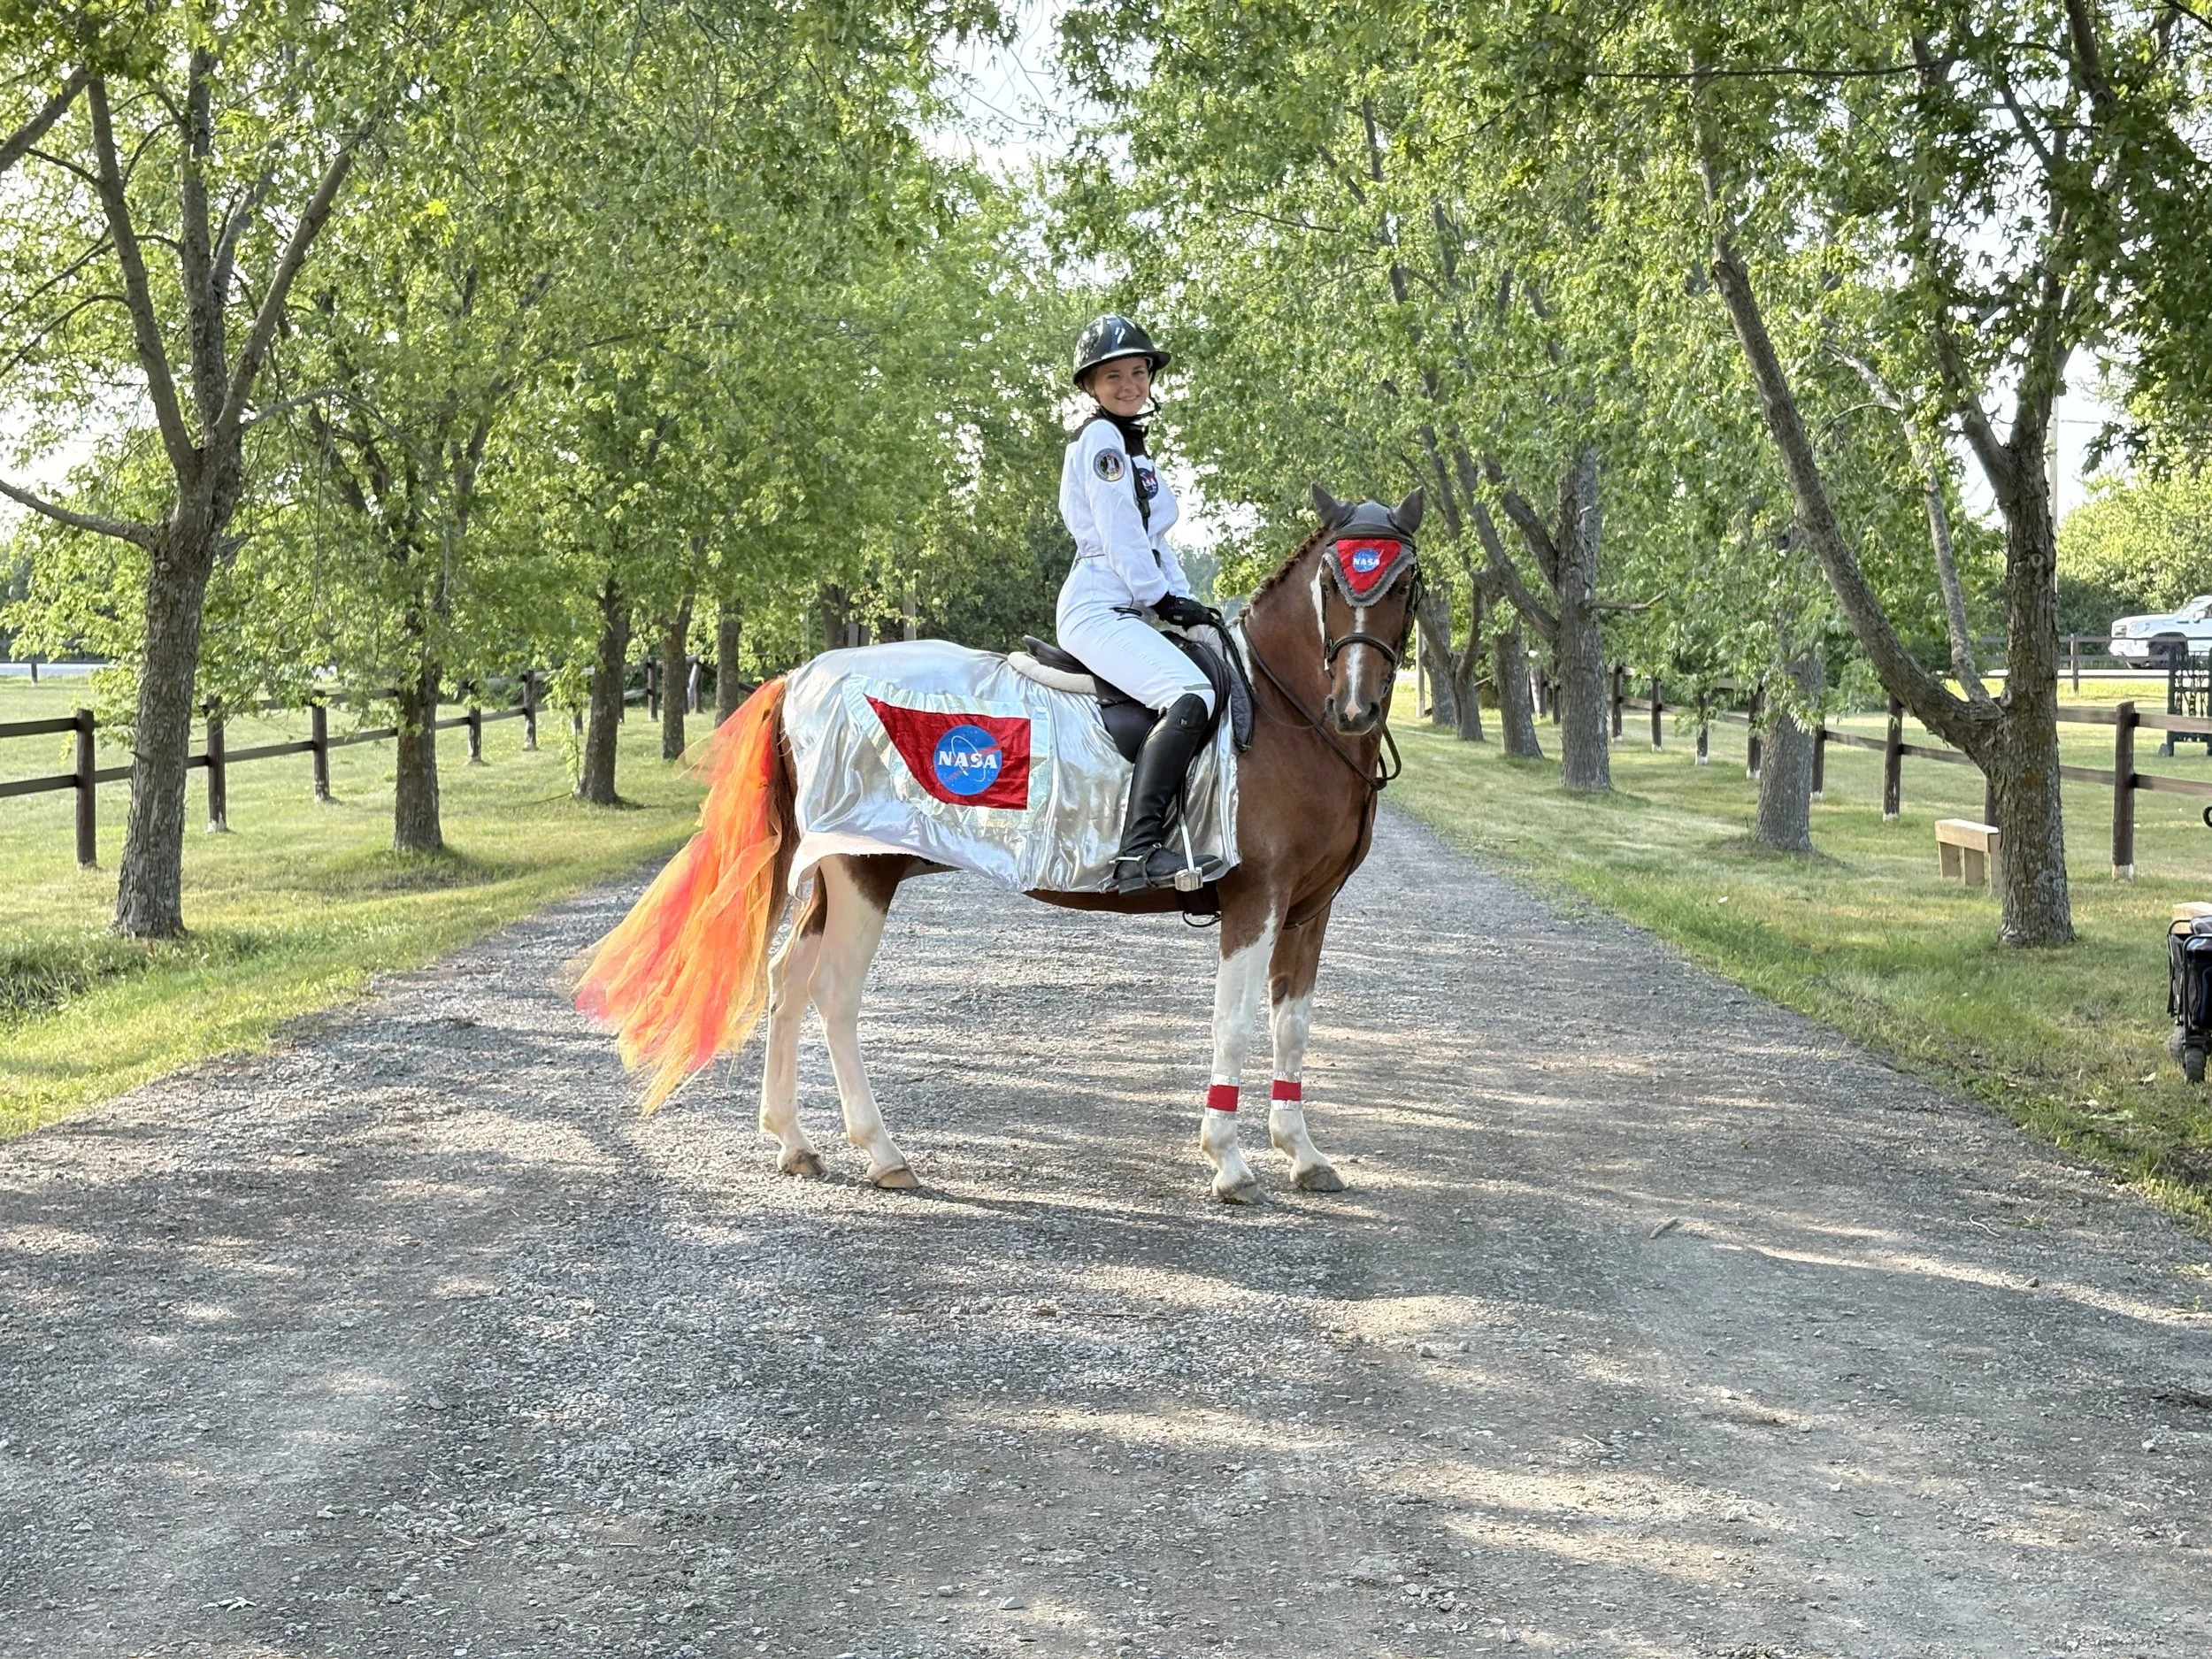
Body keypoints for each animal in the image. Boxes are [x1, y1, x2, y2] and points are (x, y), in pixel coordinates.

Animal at [576, 484, 1425, 1202]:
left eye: (1405, 582)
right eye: (1332, 581)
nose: (1354, 705)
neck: (1284, 717)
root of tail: (803, 676)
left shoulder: (1310, 907)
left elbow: (1293, 1024)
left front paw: (1302, 1152)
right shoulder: (1257, 896)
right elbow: (1236, 1020)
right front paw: (1230, 1160)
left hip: (835, 875)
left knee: (789, 979)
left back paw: (793, 1142)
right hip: (864, 869)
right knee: (833, 995)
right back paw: (882, 1152)